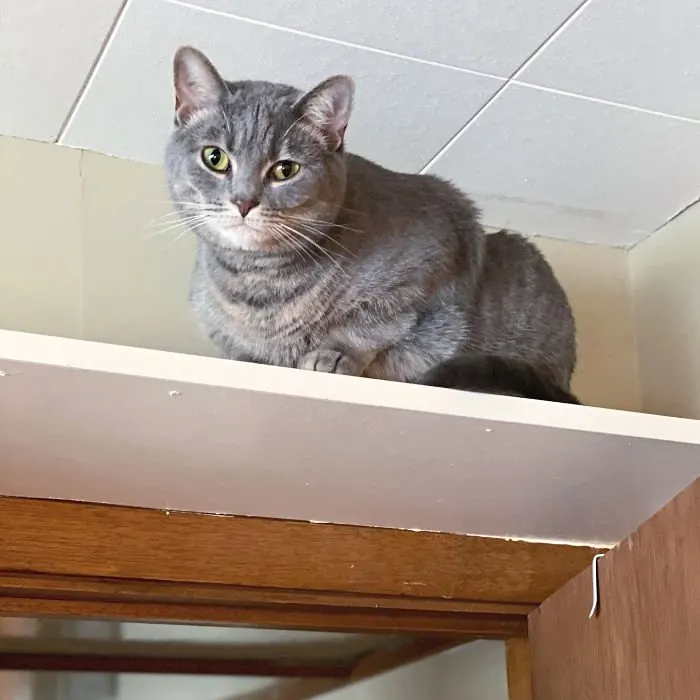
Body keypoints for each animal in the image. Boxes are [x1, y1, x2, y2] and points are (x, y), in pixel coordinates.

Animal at [167, 45, 576, 400]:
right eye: (215, 158)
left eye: (285, 169)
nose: (244, 201)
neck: (257, 281)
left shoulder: (432, 257)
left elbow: (371, 324)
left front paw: (334, 354)